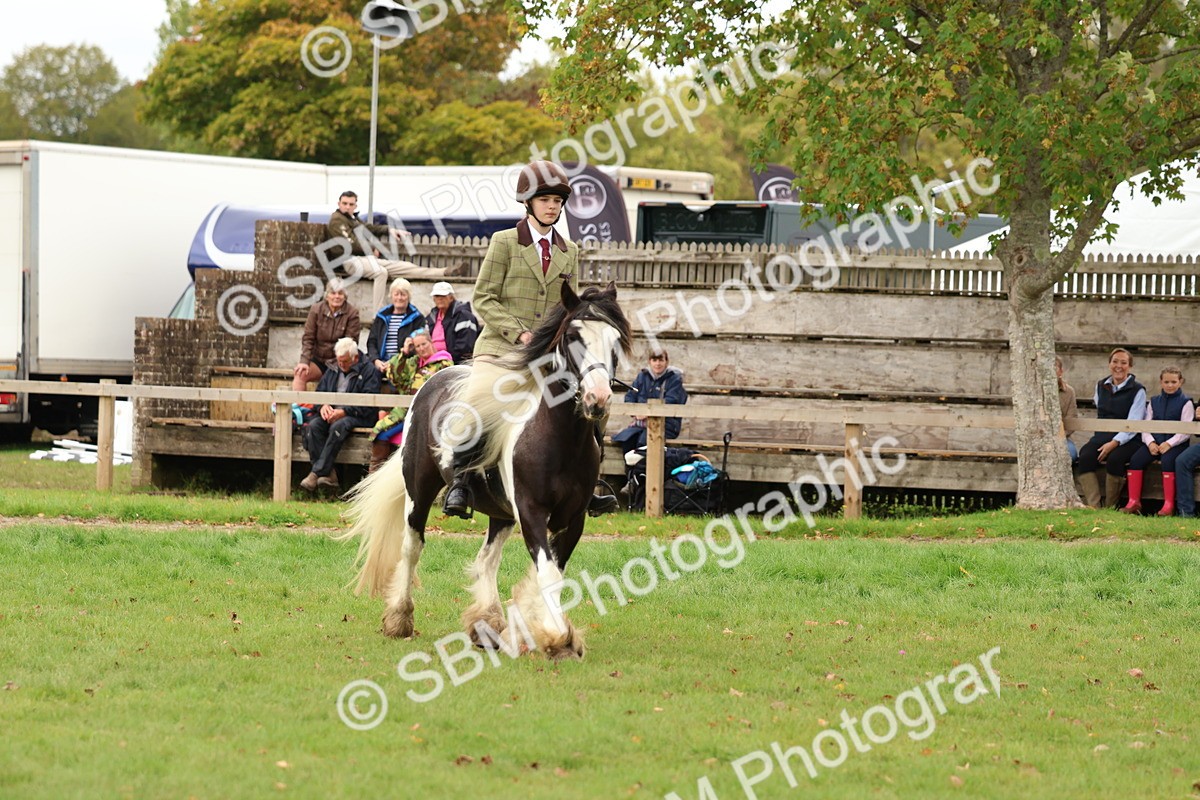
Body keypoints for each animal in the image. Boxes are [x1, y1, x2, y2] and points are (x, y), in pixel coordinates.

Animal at [339, 282, 632, 660]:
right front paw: (559, 638)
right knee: (412, 546)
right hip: (419, 490)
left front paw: (536, 629)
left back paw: (487, 625)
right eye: (572, 336)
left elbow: (553, 571)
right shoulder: (531, 511)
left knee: (486, 560)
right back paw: (399, 619)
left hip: (500, 511)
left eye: (615, 340)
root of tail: (434, 379)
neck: (559, 437)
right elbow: (547, 573)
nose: (599, 398)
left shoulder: (573, 518)